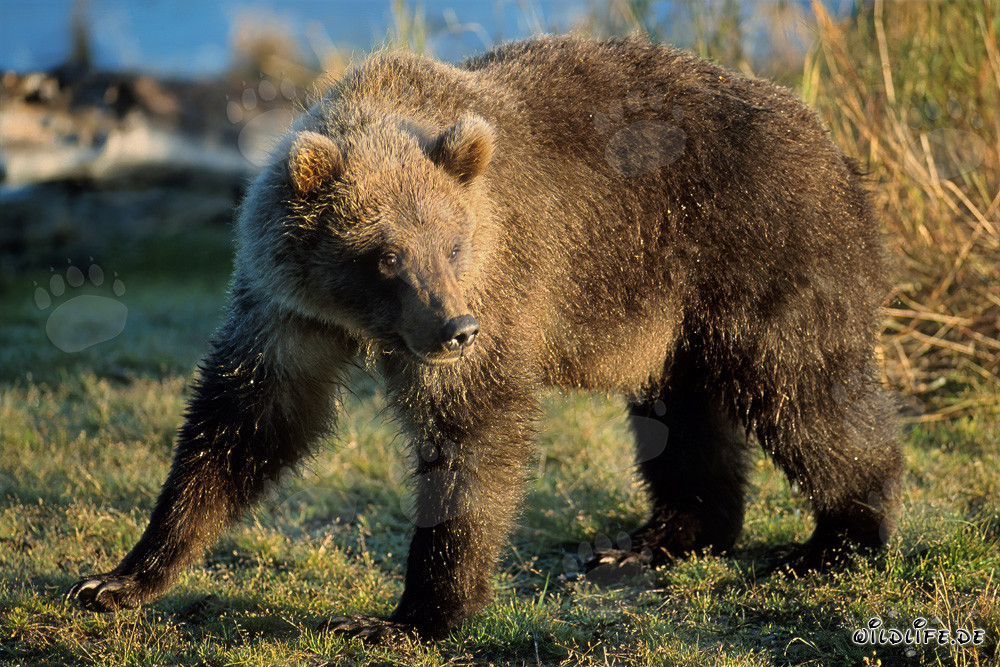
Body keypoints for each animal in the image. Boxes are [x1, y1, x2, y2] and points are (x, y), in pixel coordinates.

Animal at [66, 35, 902, 641]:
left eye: (454, 242)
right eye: (385, 253)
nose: (454, 329)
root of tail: (832, 139)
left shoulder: (501, 286)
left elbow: (472, 432)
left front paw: (406, 616)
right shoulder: (287, 311)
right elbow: (244, 422)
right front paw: (117, 579)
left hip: (755, 249)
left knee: (803, 392)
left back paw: (838, 536)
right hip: (672, 305)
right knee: (682, 415)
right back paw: (647, 540)